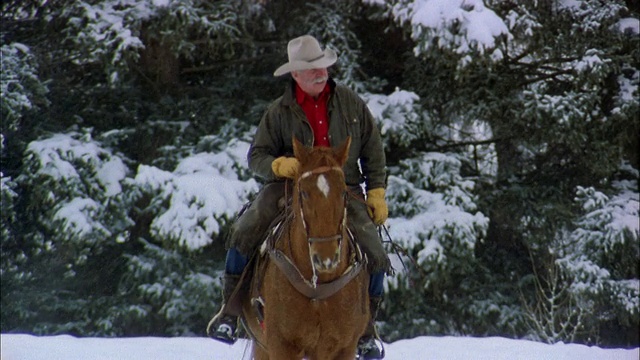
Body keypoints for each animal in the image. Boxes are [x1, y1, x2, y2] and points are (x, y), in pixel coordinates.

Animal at [241, 136, 370, 358]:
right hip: (262, 345)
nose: (326, 258)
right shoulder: (280, 344)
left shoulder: (344, 347)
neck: (318, 289)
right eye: (304, 193)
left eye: (343, 192)